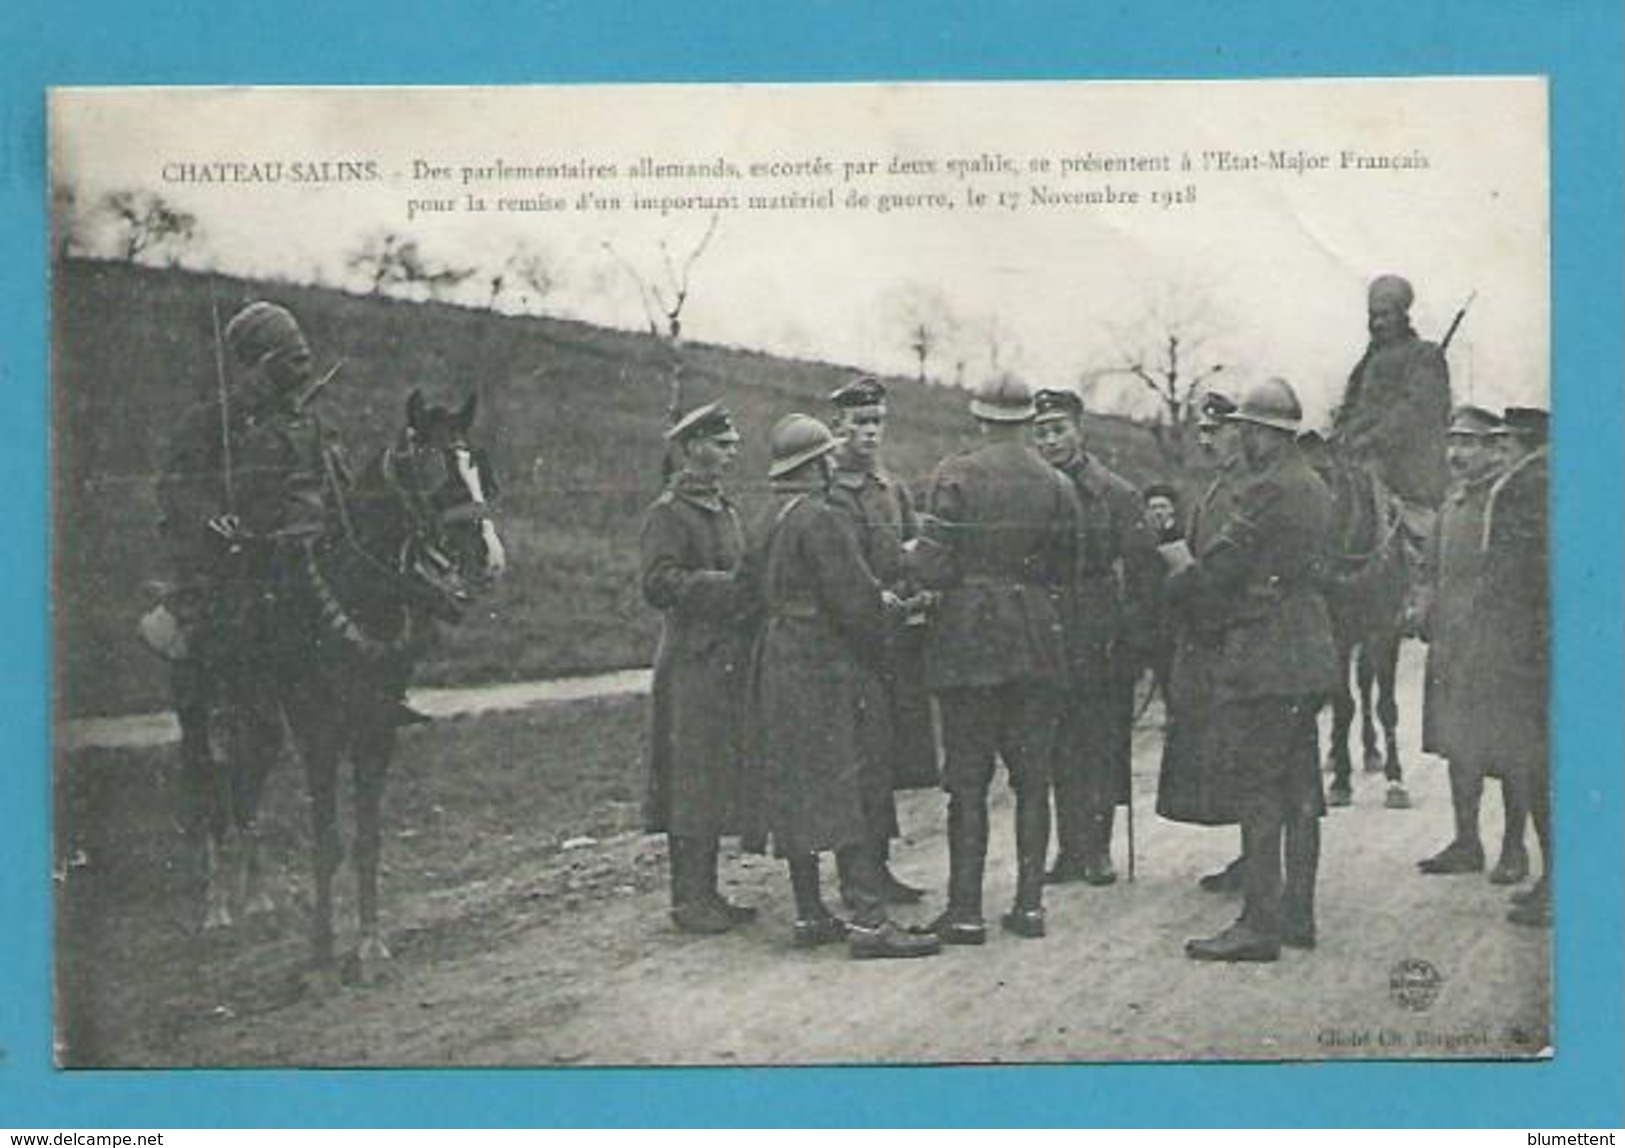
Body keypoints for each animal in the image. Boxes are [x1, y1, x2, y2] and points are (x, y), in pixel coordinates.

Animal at [170, 391, 500, 982]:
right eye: (432, 470)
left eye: (479, 467)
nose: (490, 559)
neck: (356, 588)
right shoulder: (318, 731)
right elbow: (326, 840)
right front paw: (322, 959)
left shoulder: (377, 726)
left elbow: (368, 836)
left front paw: (369, 944)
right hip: (201, 712)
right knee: (208, 789)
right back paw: (217, 905)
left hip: (259, 721)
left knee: (244, 789)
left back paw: (257, 896)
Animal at [1306, 435, 1410, 806]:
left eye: (1331, 484)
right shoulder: (1336, 636)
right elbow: (1342, 704)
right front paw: (1340, 780)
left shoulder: (1386, 631)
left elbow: (1386, 705)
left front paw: (1396, 780)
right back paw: (1334, 755)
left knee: (1366, 682)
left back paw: (1371, 751)